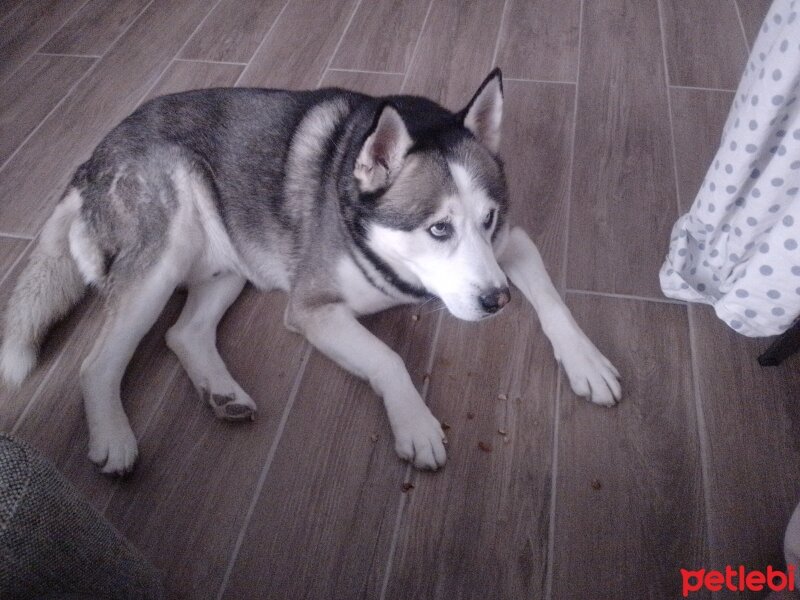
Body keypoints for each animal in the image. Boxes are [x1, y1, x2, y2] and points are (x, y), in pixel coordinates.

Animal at [0, 69, 620, 474]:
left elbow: (552, 297)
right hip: (164, 252)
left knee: (184, 332)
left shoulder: (510, 243)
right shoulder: (313, 309)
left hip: (230, 260)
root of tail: (93, 157)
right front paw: (416, 423)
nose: (497, 302)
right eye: (438, 229)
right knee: (98, 362)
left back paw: (222, 392)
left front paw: (587, 361)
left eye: (487, 219)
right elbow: (388, 358)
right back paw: (114, 437)